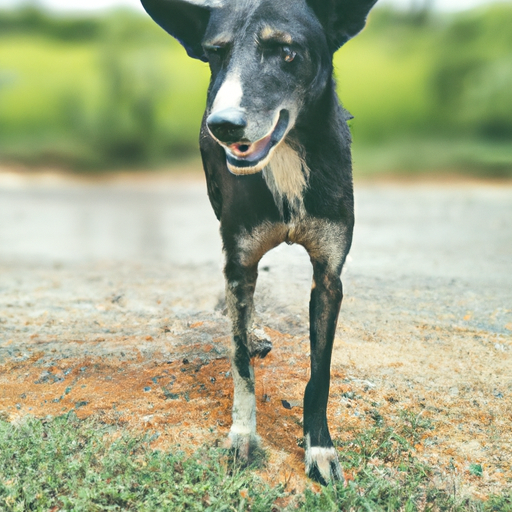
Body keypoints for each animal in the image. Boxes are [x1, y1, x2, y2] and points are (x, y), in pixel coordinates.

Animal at [140, 0, 376, 484]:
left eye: (286, 52)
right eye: (215, 54)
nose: (223, 126)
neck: (286, 157)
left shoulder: (330, 275)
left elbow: (320, 374)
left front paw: (319, 447)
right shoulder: (238, 263)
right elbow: (240, 366)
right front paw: (244, 436)